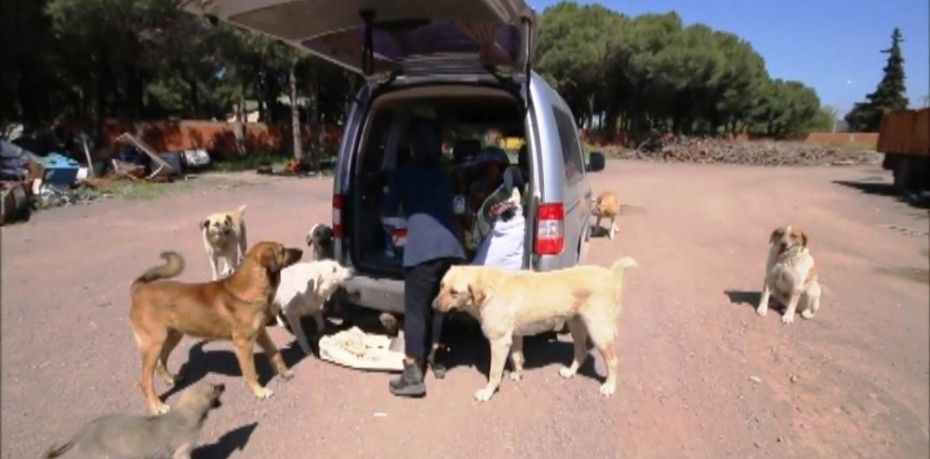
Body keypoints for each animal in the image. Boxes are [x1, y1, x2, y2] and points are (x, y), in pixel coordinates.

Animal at [127, 243, 300, 416]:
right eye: (282, 250)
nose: (301, 250)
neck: (250, 286)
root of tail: (140, 288)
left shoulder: (260, 333)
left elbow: (275, 352)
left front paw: (285, 372)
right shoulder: (243, 344)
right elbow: (250, 372)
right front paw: (259, 391)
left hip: (172, 336)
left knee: (160, 362)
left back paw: (171, 379)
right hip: (154, 344)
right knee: (145, 380)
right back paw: (157, 406)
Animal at [432, 258, 636, 402]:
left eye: (454, 292)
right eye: (441, 286)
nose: (432, 307)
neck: (489, 290)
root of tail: (612, 276)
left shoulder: (499, 341)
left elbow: (494, 373)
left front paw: (488, 392)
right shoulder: (513, 336)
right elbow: (516, 358)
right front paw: (518, 374)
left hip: (598, 331)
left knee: (613, 361)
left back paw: (609, 387)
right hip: (576, 325)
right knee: (581, 351)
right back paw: (570, 372)